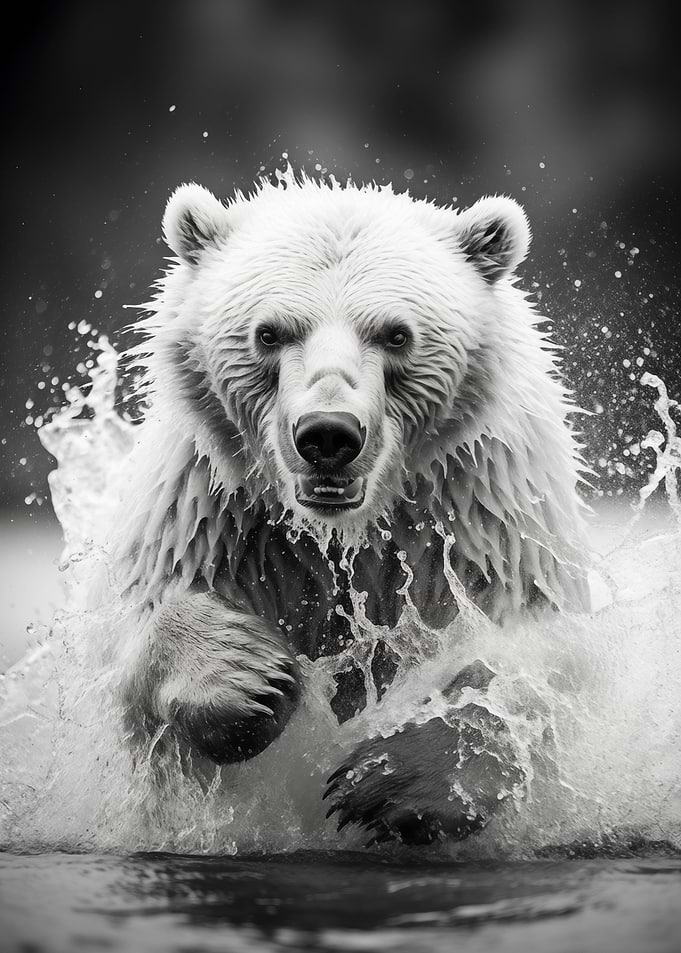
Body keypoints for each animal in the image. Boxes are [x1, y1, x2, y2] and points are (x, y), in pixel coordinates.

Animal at [113, 174, 590, 847]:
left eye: (396, 333)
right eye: (269, 332)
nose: (328, 435)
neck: (344, 535)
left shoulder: (483, 523)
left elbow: (543, 655)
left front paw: (394, 781)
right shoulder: (212, 516)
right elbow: (128, 640)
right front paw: (250, 680)